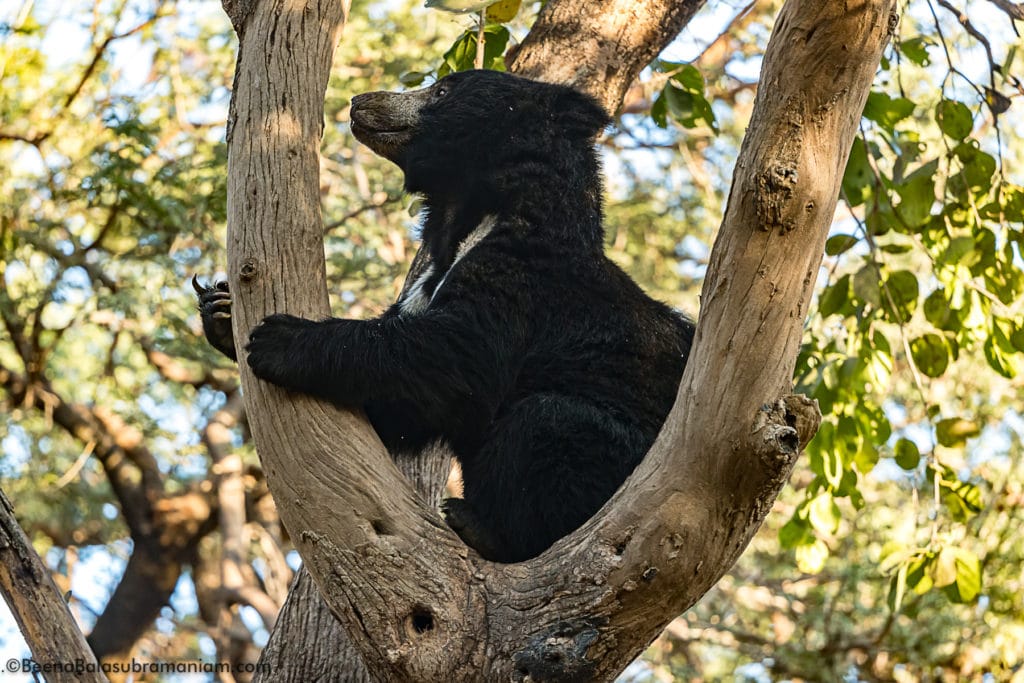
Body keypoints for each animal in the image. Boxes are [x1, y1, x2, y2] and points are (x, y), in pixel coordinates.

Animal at [195, 69, 696, 565]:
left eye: (440, 90)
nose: (360, 102)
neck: (469, 209)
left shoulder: (525, 276)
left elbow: (451, 358)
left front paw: (278, 338)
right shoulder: (427, 283)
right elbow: (390, 407)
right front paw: (220, 311)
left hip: (618, 455)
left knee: (547, 421)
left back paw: (477, 524)